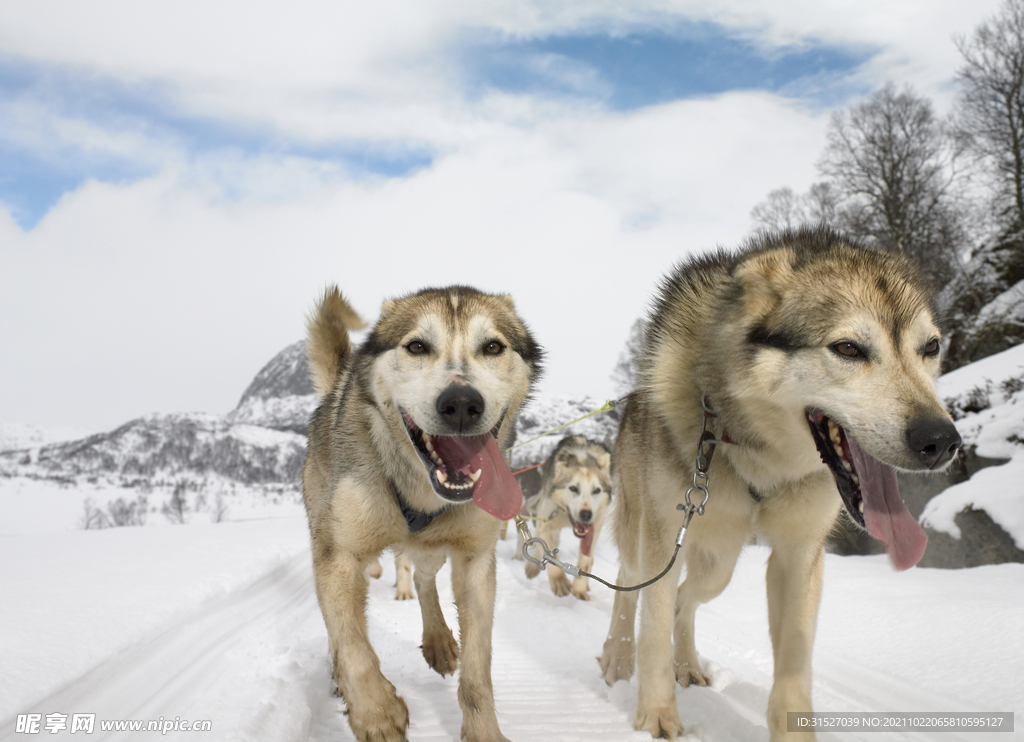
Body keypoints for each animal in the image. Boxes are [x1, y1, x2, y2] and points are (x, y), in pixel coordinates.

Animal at [301, 284, 540, 740]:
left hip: (433, 548)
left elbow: (478, 670)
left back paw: (439, 640)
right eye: (416, 346)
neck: (420, 492)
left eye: (493, 346)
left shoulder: (475, 561)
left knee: (425, 579)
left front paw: (483, 730)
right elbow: (353, 647)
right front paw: (376, 712)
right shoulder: (338, 556)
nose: (461, 403)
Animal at [524, 438, 610, 597]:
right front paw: (559, 580)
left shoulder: (594, 529)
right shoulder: (546, 522)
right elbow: (547, 552)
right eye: (573, 488)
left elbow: (586, 560)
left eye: (596, 490)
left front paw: (580, 589)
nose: (586, 514)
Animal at [598, 228, 962, 736]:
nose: (941, 440)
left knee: (685, 601)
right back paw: (617, 657)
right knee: (629, 584)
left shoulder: (799, 554)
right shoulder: (663, 539)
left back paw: (686, 664)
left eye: (930, 347)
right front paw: (656, 717)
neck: (755, 456)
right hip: (649, 539)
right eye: (848, 348)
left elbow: (794, 664)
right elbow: (651, 631)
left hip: (719, 565)